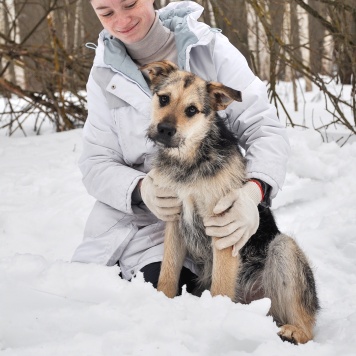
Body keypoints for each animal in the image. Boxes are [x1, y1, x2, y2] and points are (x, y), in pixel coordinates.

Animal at [140, 59, 318, 344]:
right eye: (164, 98)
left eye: (192, 110)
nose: (165, 130)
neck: (190, 161)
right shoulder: (175, 224)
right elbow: (167, 273)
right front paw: (160, 303)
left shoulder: (223, 229)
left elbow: (221, 286)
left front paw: (215, 319)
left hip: (284, 249)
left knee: (307, 326)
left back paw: (294, 331)